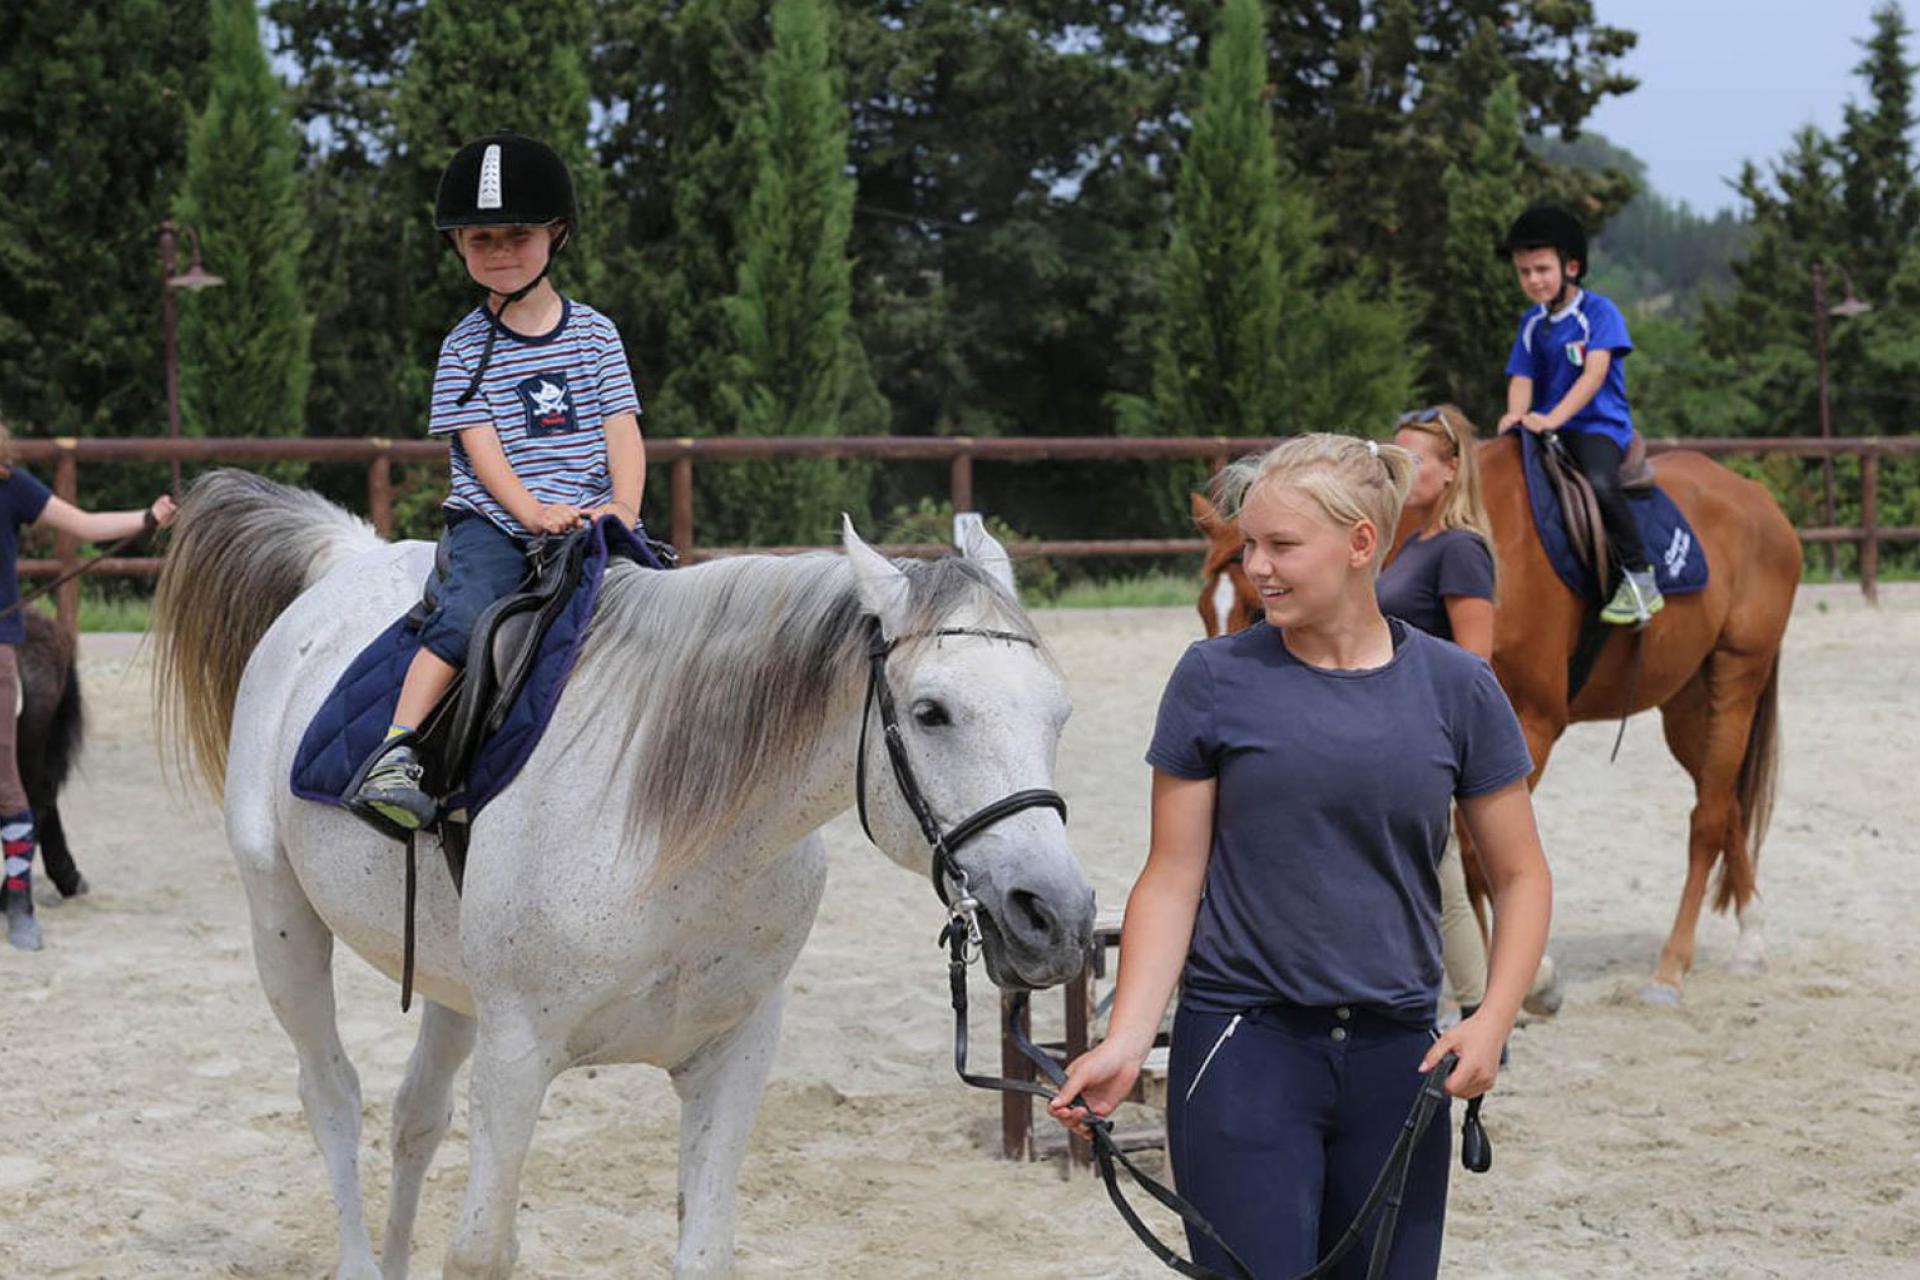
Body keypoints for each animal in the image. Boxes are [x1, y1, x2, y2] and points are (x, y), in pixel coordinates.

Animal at [151, 474, 1098, 1280]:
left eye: (1060, 712)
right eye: (933, 713)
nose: (1055, 916)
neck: (677, 841)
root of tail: (349, 558)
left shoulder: (733, 1056)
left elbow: (703, 1251)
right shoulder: (517, 1057)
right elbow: (482, 1252)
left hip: (456, 990)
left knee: (415, 1118)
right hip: (283, 926)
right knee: (333, 1098)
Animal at [1190, 435, 1804, 1005]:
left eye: (1258, 603)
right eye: (1204, 609)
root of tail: (1758, 500)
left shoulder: (1530, 725)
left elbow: (1482, 858)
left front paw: (1521, 980)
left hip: (1736, 676)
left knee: (1707, 819)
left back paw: (1671, 969)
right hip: (1687, 704)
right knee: (1725, 803)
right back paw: (1751, 940)